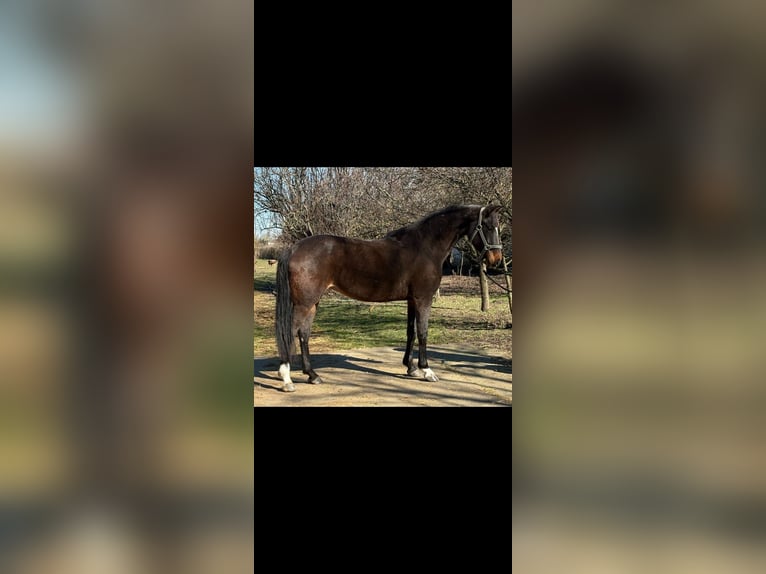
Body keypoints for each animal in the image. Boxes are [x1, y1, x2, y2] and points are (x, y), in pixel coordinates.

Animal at [274, 204, 504, 392]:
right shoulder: (423, 299)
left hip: (312, 303)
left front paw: (411, 368)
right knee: (290, 332)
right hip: (304, 304)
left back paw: (312, 375)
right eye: (487, 226)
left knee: (303, 334)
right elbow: (423, 332)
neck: (425, 247)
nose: (496, 259)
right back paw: (287, 379)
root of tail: (293, 248)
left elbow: (411, 332)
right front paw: (427, 370)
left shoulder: (412, 300)